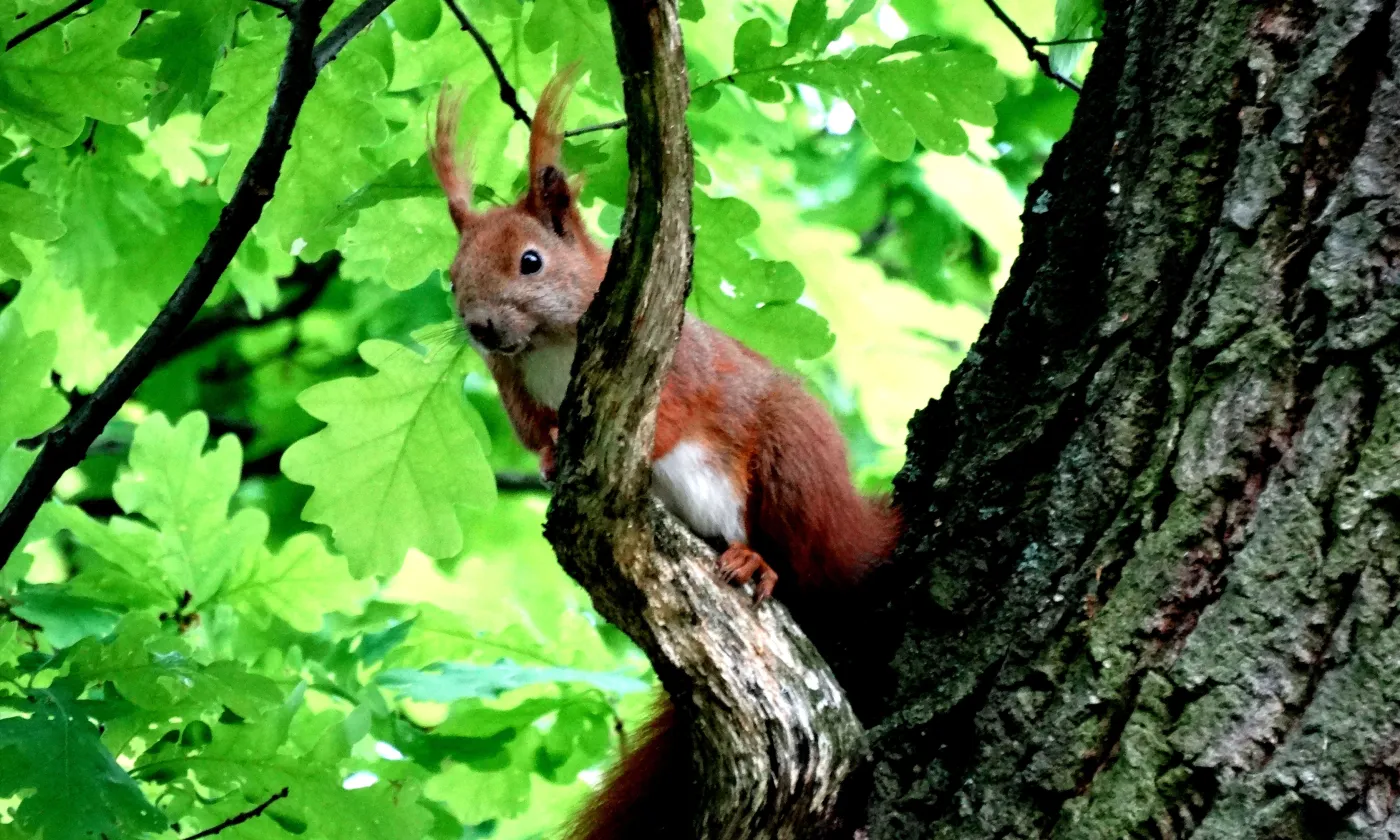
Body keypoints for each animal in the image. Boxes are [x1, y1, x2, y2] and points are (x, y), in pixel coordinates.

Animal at [430, 67, 902, 840]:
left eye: (530, 262)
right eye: (451, 273)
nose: (480, 327)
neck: (548, 346)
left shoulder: (675, 363)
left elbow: (675, 417)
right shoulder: (516, 390)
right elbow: (538, 433)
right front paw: (554, 459)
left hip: (794, 468)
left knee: (806, 564)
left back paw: (758, 562)